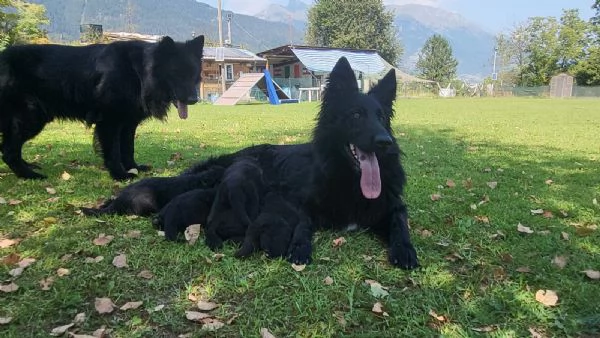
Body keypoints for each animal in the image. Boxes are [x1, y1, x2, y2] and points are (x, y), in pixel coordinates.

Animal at [0, 35, 205, 180]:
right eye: (177, 73)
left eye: (193, 73)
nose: (194, 99)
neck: (138, 72)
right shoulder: (110, 122)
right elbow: (113, 151)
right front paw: (120, 174)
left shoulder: (128, 124)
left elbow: (128, 148)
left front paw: (134, 168)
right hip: (30, 118)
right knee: (9, 151)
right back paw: (29, 175)